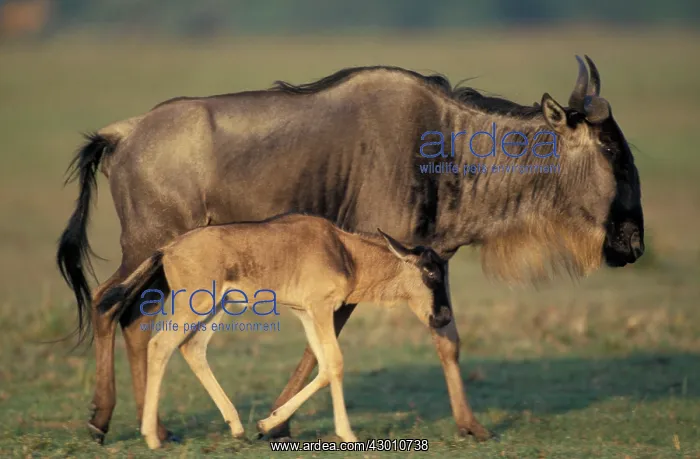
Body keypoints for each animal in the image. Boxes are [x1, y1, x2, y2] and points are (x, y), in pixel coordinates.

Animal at [97, 213, 454, 449]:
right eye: (430, 271)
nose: (442, 318)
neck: (343, 250)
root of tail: (169, 248)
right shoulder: (320, 309)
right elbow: (336, 363)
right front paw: (347, 434)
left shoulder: (307, 313)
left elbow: (324, 366)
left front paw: (265, 423)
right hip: (195, 305)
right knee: (161, 344)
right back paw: (152, 438)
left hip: (217, 308)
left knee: (193, 348)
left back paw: (237, 427)